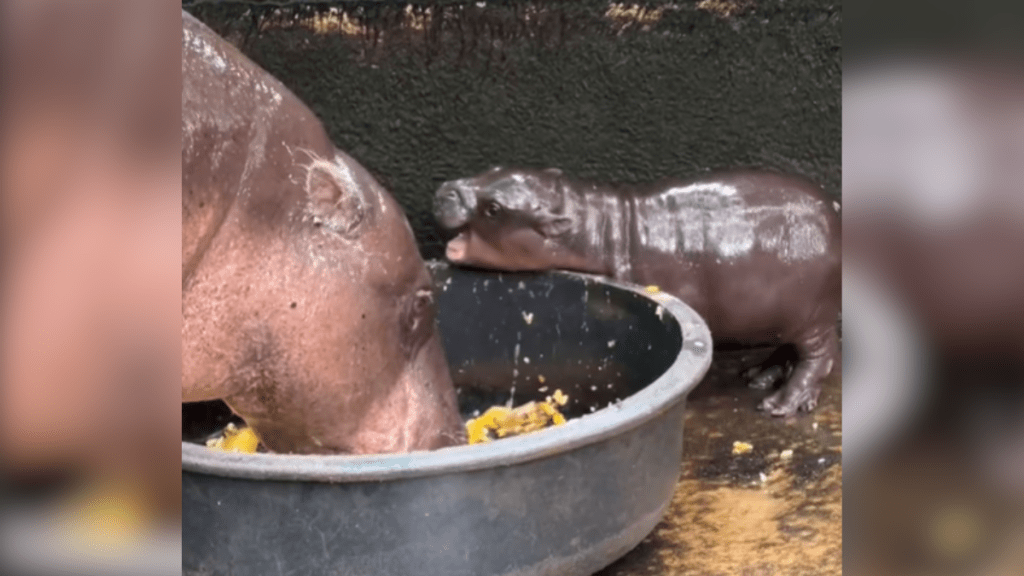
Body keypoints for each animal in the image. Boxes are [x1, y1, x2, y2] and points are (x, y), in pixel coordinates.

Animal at [432, 165, 839, 412]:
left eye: (494, 209)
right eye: (490, 169)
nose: (445, 189)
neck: (596, 228)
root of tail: (833, 211)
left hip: (815, 316)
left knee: (818, 357)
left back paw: (781, 404)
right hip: (786, 315)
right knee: (788, 348)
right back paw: (758, 377)